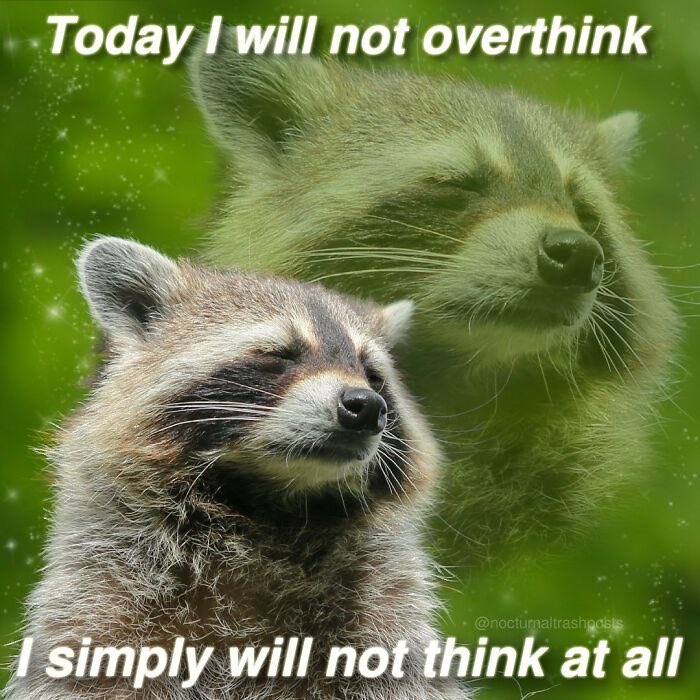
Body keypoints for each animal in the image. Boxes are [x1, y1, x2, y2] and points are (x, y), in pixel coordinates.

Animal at [6, 237, 468, 700]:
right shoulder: (103, 594)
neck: (268, 506)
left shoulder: (382, 609)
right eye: (280, 355)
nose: (366, 406)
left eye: (372, 375)